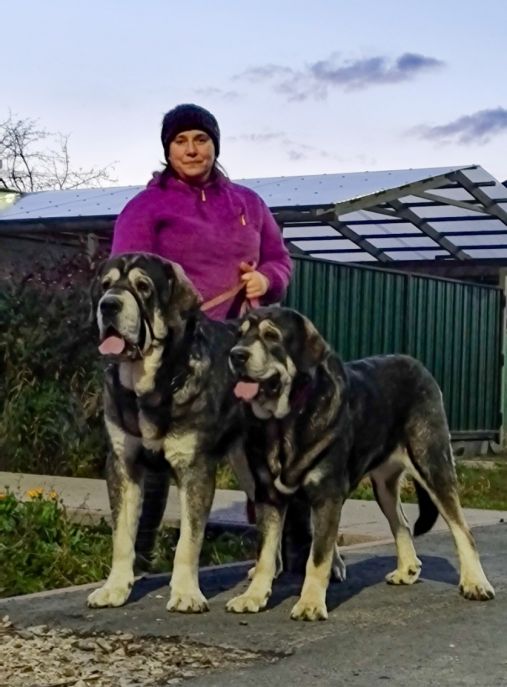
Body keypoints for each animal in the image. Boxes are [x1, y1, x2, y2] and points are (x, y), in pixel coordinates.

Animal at [87, 253, 244, 612]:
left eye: (143, 287)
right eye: (105, 285)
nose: (109, 305)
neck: (149, 387)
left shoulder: (195, 470)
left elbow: (189, 539)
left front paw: (186, 593)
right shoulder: (122, 465)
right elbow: (122, 535)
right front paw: (115, 588)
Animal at [226, 306, 495, 621]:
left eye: (271, 336)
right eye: (240, 334)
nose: (236, 355)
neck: (287, 421)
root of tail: (418, 366)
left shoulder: (327, 496)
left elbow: (318, 558)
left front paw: (310, 603)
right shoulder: (268, 496)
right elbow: (266, 554)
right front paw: (253, 596)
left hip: (433, 465)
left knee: (462, 529)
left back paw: (475, 583)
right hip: (384, 486)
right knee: (401, 523)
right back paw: (407, 570)